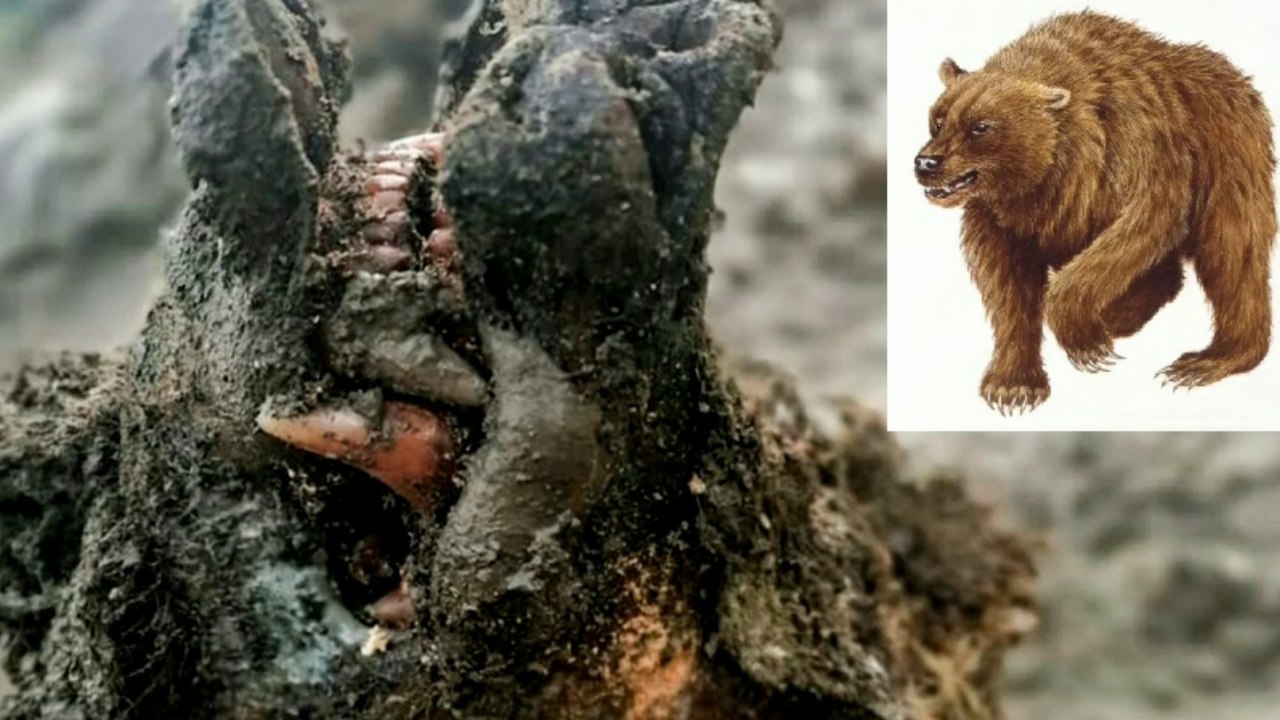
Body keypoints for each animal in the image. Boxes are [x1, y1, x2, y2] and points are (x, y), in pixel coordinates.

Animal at [914, 11, 1276, 414]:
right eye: (938, 120)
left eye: (981, 126)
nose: (926, 163)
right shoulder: (1000, 214)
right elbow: (1005, 282)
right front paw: (1013, 385)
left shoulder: (1139, 150)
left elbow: (1135, 229)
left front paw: (1085, 341)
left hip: (1229, 158)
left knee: (1231, 255)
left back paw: (1204, 361)